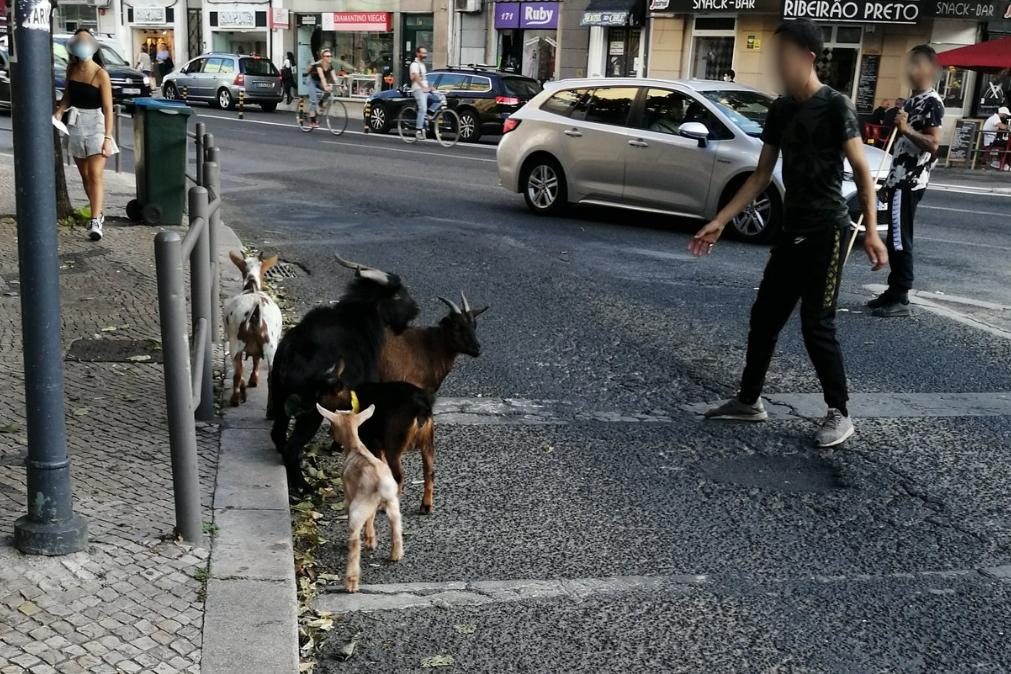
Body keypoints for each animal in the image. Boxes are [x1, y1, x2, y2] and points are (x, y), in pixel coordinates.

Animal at [223, 249, 283, 404]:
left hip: (235, 343)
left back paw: (235, 398)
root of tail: (255, 312)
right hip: (271, 346)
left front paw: (250, 382)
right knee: (271, 377)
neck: (251, 286)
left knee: (238, 371)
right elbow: (255, 360)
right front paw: (253, 381)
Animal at [268, 255, 418, 493]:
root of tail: (293, 353)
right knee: (292, 447)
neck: (358, 320)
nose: (416, 310)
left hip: (280, 395)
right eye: (397, 294)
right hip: (311, 410)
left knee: (278, 435)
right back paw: (304, 487)